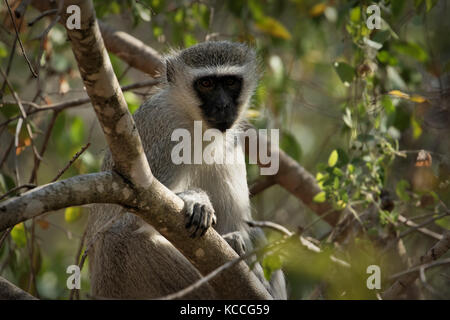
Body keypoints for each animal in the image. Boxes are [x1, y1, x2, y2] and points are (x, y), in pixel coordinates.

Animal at [86, 40, 286, 300]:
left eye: (230, 82)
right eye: (206, 84)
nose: (222, 106)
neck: (196, 124)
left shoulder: (230, 147)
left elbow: (235, 224)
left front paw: (237, 243)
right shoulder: (166, 137)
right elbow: (134, 213)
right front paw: (195, 199)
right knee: (123, 236)